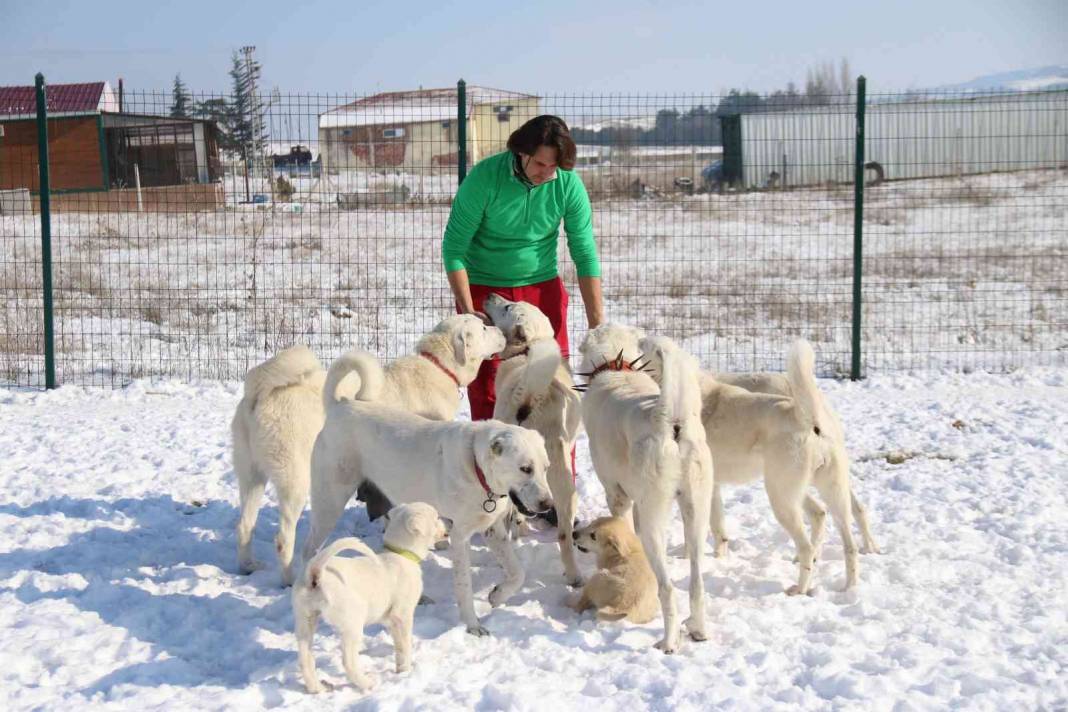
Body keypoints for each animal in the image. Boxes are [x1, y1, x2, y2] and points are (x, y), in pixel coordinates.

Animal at [230, 315, 504, 584]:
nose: (500, 329)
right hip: (297, 480)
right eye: (482, 327)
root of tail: (262, 391)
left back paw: (248, 566)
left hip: (251, 474)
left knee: (244, 525)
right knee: (284, 538)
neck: (438, 366)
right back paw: (289, 578)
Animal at [290, 501, 444, 695]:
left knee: (305, 659)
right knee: (348, 661)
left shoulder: (391, 621)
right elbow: (404, 646)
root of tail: (315, 572)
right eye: (436, 517)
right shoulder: (402, 615)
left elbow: (399, 644)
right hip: (352, 623)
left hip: (305, 619)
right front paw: (405, 671)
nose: (451, 522)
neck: (399, 553)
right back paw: (367, 683)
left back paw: (317, 688)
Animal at [301, 354, 551, 636]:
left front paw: (497, 595)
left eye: (546, 468)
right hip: (329, 502)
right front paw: (472, 625)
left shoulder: (493, 531)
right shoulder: (460, 536)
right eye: (525, 469)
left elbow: (518, 573)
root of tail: (339, 406)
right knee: (308, 550)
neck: (477, 470)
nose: (548, 504)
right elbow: (464, 586)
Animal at [484, 292, 585, 589]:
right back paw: (574, 576)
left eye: (507, 307)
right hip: (565, 486)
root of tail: (532, 396)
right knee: (564, 534)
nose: (490, 294)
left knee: (516, 509)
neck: (528, 349)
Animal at [572, 326, 713, 653]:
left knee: (668, 589)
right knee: (697, 584)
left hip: (654, 520)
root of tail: (668, 421)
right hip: (697, 512)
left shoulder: (617, 495)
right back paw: (698, 629)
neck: (615, 367)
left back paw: (669, 642)